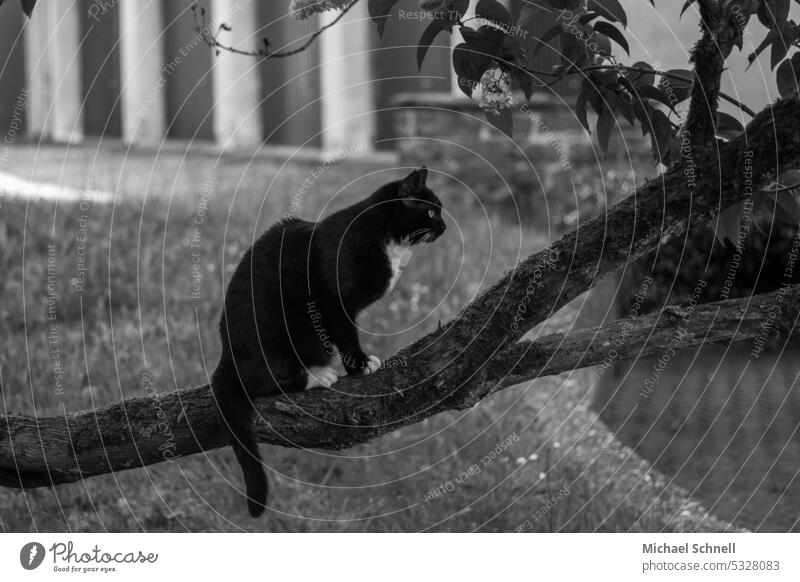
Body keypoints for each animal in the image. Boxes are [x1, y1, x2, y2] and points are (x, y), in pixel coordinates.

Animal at [211, 167, 444, 516]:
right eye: (430, 212)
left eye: (440, 210)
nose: (444, 226)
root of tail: (226, 356)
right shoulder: (332, 300)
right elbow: (345, 334)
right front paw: (359, 365)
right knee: (263, 381)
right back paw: (317, 375)